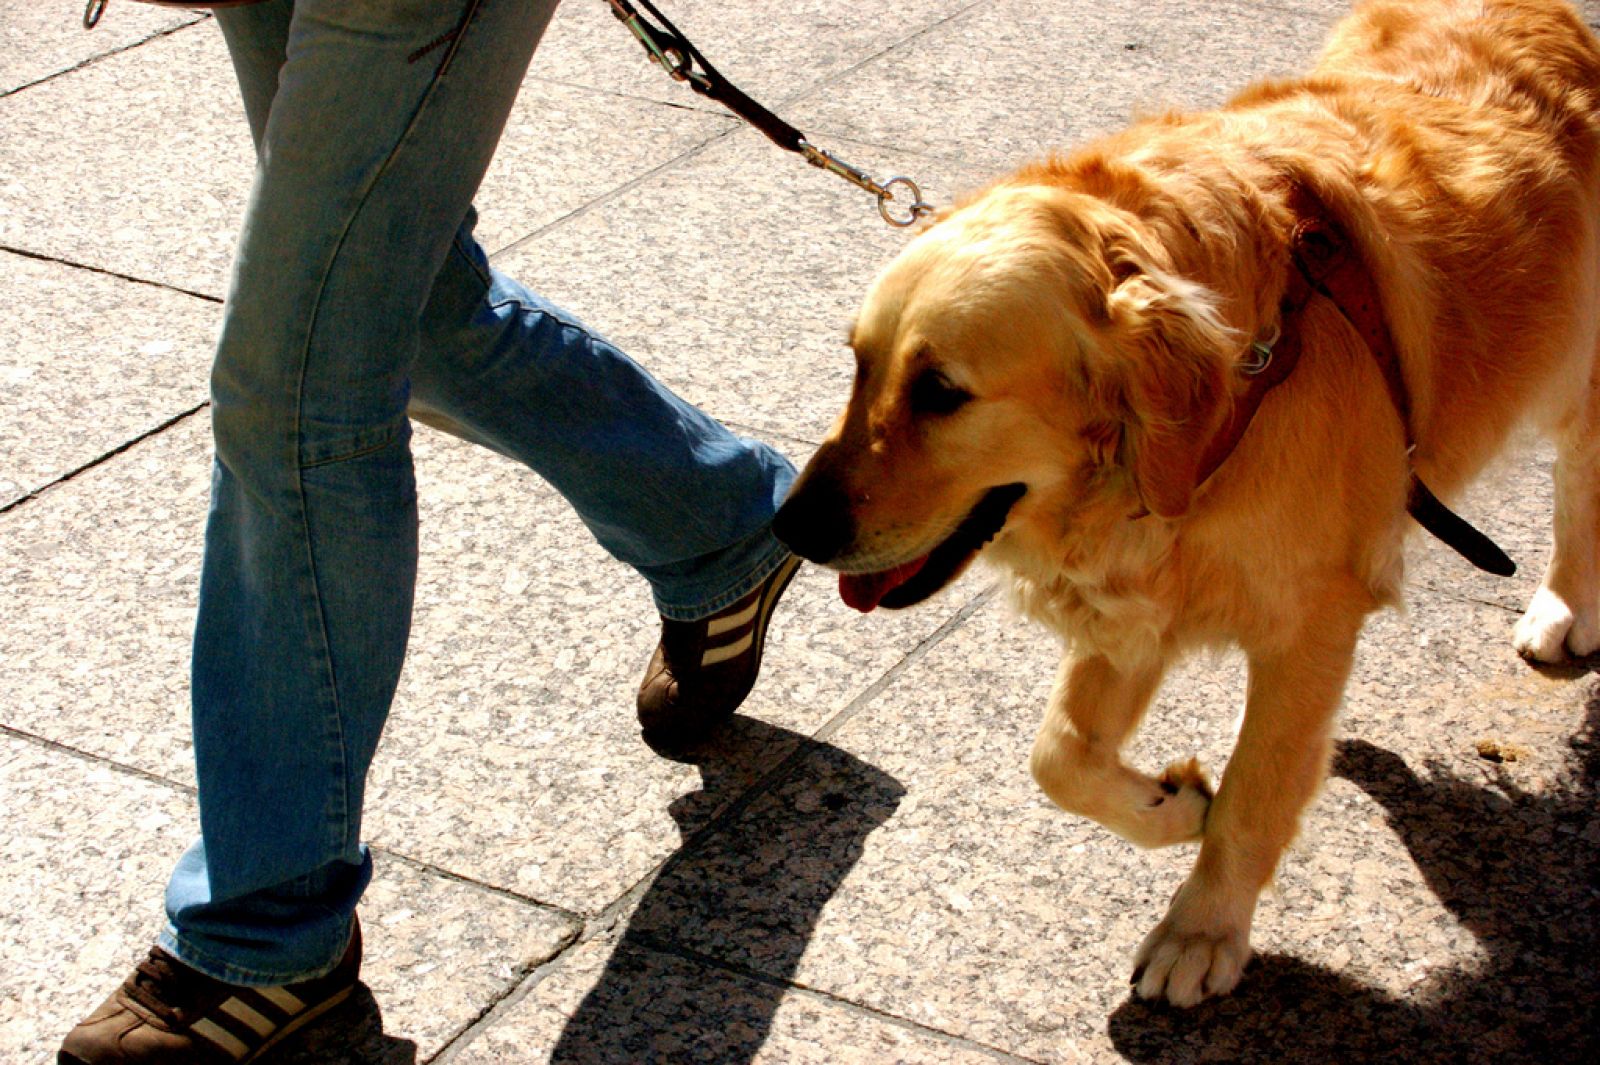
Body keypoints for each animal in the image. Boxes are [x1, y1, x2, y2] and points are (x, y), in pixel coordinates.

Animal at [768, 0, 1600, 1004]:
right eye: (860, 365)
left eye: (940, 392)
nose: (788, 524)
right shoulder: (1136, 597)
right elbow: (1059, 756)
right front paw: (1172, 805)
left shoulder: (1307, 620)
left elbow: (1252, 795)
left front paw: (1203, 928)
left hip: (1579, 367)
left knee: (1581, 477)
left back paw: (1565, 605)